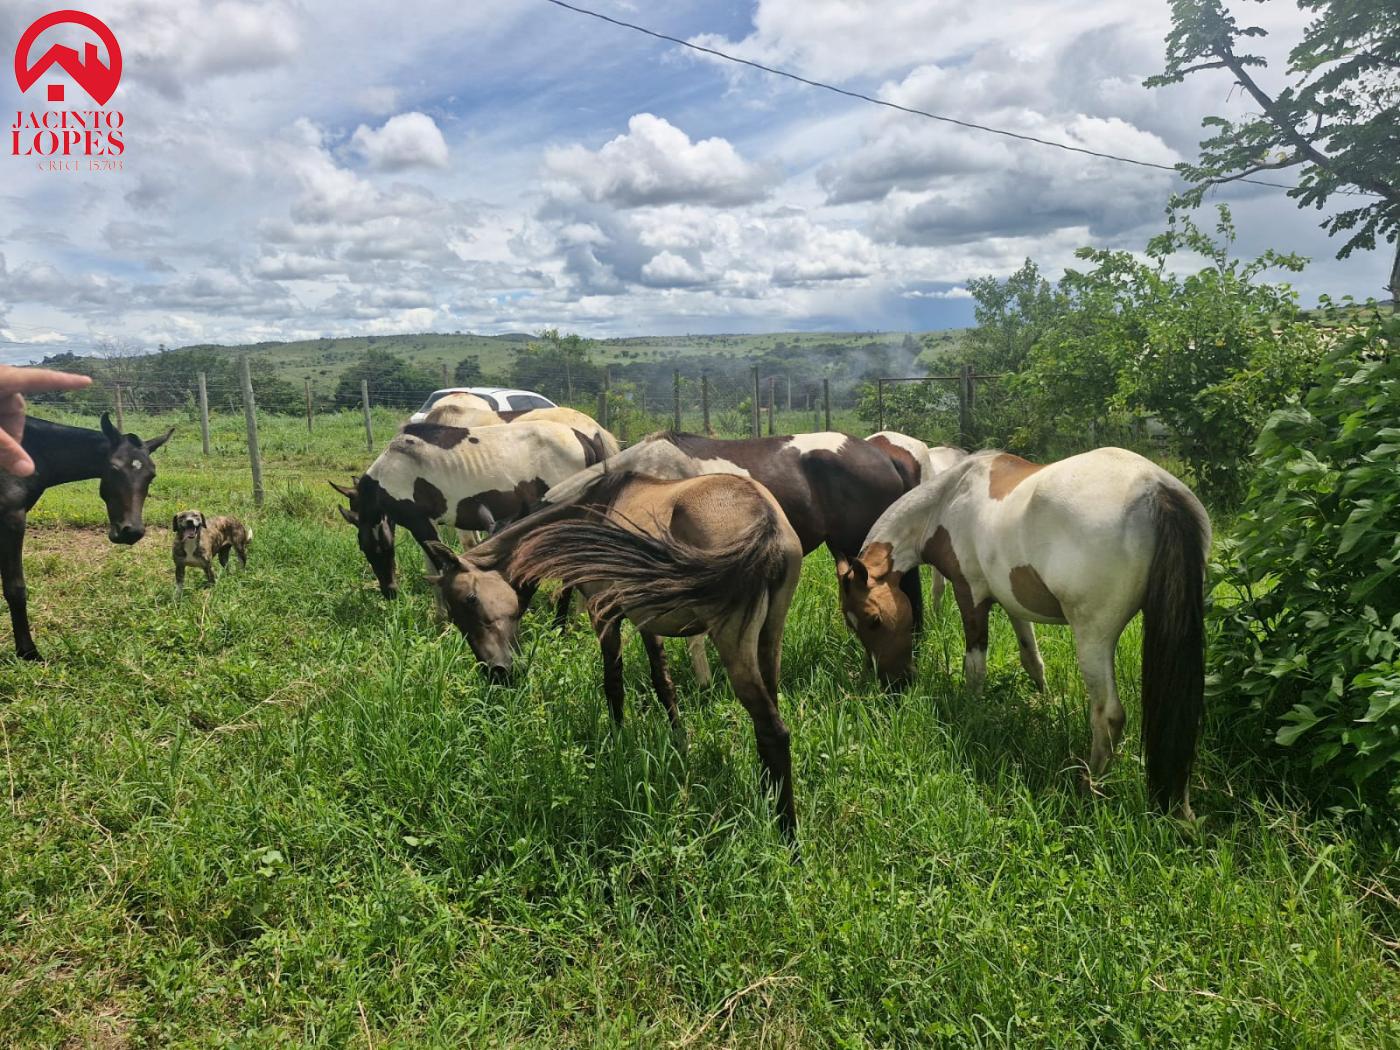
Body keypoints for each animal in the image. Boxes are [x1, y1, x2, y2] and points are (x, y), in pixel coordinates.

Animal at [1, 414, 175, 660]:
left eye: (151, 474)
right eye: (114, 468)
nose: (131, 532)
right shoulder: (12, 519)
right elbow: (15, 588)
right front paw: (28, 652)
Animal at [420, 467, 806, 840]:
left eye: (469, 600)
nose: (495, 671)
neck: (593, 509)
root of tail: (764, 517)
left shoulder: (603, 613)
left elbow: (613, 684)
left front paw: (618, 745)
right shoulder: (648, 620)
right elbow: (663, 683)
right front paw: (680, 744)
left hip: (733, 642)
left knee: (773, 731)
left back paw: (787, 835)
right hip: (769, 637)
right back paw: (768, 796)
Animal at [834, 448, 1209, 817]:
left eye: (872, 620)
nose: (893, 682)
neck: (948, 498)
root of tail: (1154, 488)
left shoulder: (971, 595)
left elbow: (975, 667)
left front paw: (972, 712)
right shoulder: (1013, 604)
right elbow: (1032, 659)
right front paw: (1044, 702)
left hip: (1093, 636)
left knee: (1109, 716)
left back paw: (1090, 790)